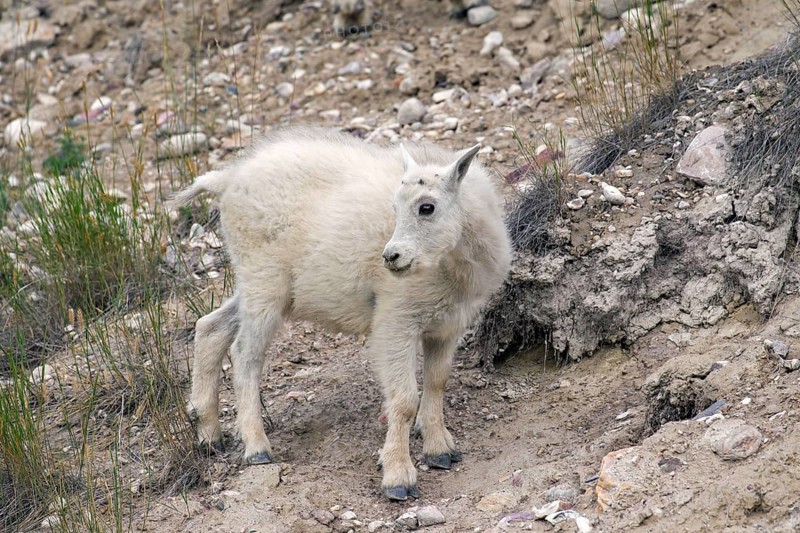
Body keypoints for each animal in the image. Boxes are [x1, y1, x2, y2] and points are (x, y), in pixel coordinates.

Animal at [174, 126, 512, 501]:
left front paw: (439, 450)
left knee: (210, 327)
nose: (391, 257)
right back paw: (256, 446)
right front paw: (399, 477)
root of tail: (229, 178)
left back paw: (208, 433)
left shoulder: (447, 327)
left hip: (261, 288)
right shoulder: (396, 321)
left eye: (427, 207)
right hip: (264, 282)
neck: (455, 263)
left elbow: (437, 383)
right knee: (245, 353)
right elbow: (404, 400)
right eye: (395, 207)